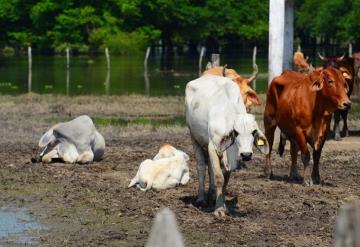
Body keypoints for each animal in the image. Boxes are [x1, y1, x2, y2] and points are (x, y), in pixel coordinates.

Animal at [187, 75, 268, 216]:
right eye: (235, 132)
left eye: (253, 132)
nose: (246, 155)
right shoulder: (212, 147)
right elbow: (219, 177)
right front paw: (219, 210)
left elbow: (225, 179)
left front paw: (223, 205)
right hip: (194, 136)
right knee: (201, 167)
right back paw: (201, 199)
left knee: (210, 169)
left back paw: (211, 195)